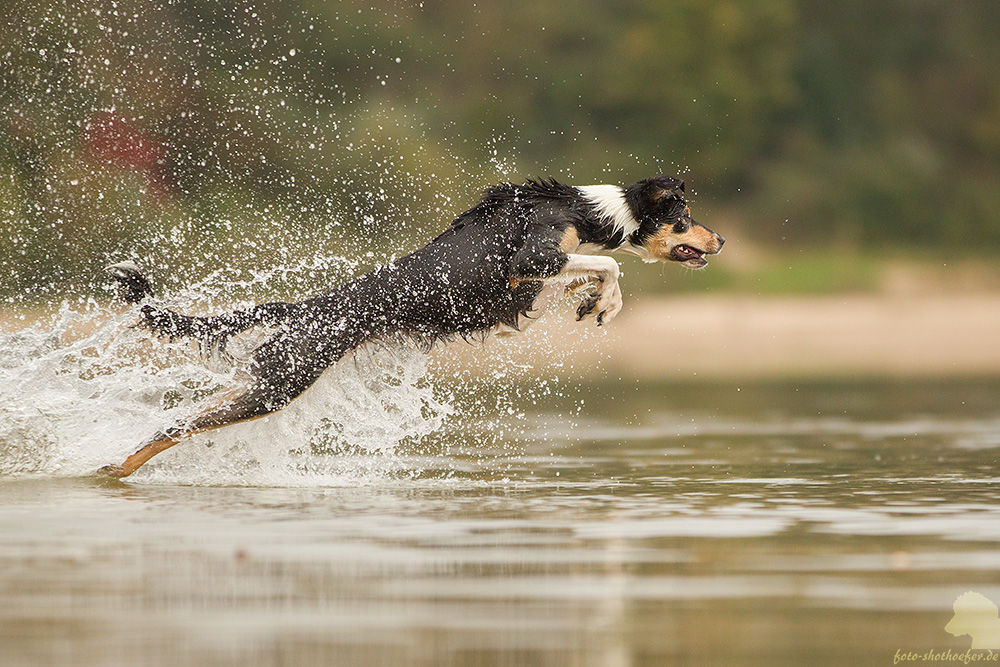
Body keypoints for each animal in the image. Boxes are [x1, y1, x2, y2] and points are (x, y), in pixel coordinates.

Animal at [101, 175, 724, 478]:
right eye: (685, 218)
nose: (720, 240)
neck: (586, 211)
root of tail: (307, 306)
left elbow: (595, 272)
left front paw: (593, 300)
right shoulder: (532, 260)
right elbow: (612, 264)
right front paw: (605, 301)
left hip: (268, 379)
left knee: (181, 416)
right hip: (281, 383)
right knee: (174, 425)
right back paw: (113, 467)